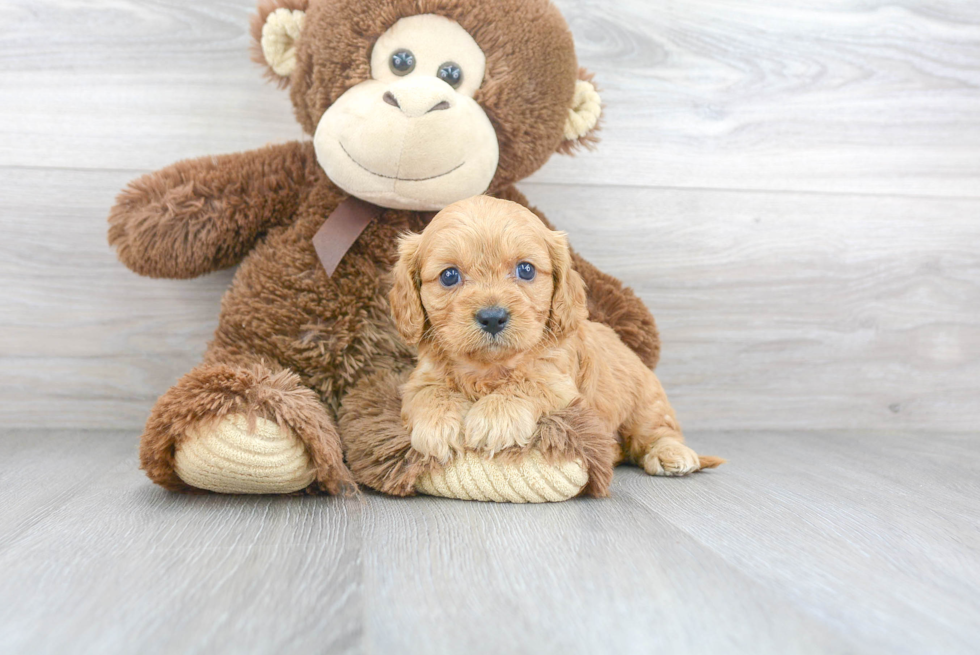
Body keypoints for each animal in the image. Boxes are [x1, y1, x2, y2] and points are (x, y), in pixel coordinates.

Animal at [388, 195, 720, 476]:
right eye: (449, 276)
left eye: (526, 270)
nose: (492, 317)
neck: (489, 367)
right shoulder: (420, 379)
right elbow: (429, 393)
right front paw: (437, 426)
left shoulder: (558, 383)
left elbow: (526, 385)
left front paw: (495, 417)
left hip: (645, 402)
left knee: (659, 431)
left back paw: (672, 454)